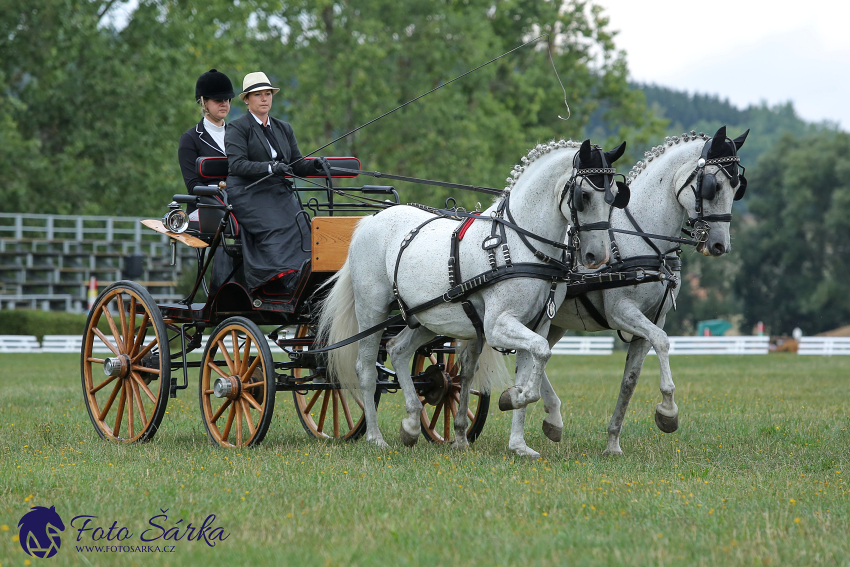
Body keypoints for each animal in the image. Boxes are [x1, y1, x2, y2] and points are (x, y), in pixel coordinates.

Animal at [318, 139, 628, 448]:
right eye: (584, 195)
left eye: (615, 196)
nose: (597, 256)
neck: (521, 245)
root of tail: (371, 219)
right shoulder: (496, 326)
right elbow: (540, 353)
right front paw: (514, 399)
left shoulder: (536, 324)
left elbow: (535, 361)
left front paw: (518, 441)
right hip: (372, 311)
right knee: (366, 369)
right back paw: (374, 436)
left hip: (427, 317)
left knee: (398, 349)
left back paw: (411, 424)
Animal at [484, 126, 748, 460]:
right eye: (714, 185)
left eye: (737, 186)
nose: (719, 245)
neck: (642, 237)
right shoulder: (622, 312)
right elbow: (663, 343)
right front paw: (668, 411)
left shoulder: (652, 320)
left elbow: (629, 381)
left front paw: (613, 442)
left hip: (550, 322)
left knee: (534, 355)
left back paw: (547, 415)